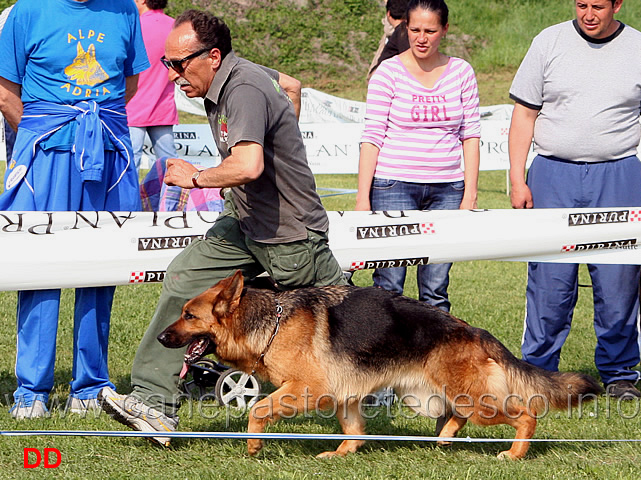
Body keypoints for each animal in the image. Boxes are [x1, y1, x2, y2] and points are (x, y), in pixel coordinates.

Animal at [158, 272, 604, 460]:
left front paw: (253, 444)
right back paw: (444, 440)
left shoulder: (309, 390)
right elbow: (354, 432)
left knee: (526, 414)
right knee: (456, 417)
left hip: (476, 401)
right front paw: (342, 454)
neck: (271, 323)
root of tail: (472, 330)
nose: (161, 338)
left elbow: (259, 408)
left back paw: (513, 454)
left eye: (188, 315)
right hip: (428, 397)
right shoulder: (345, 398)